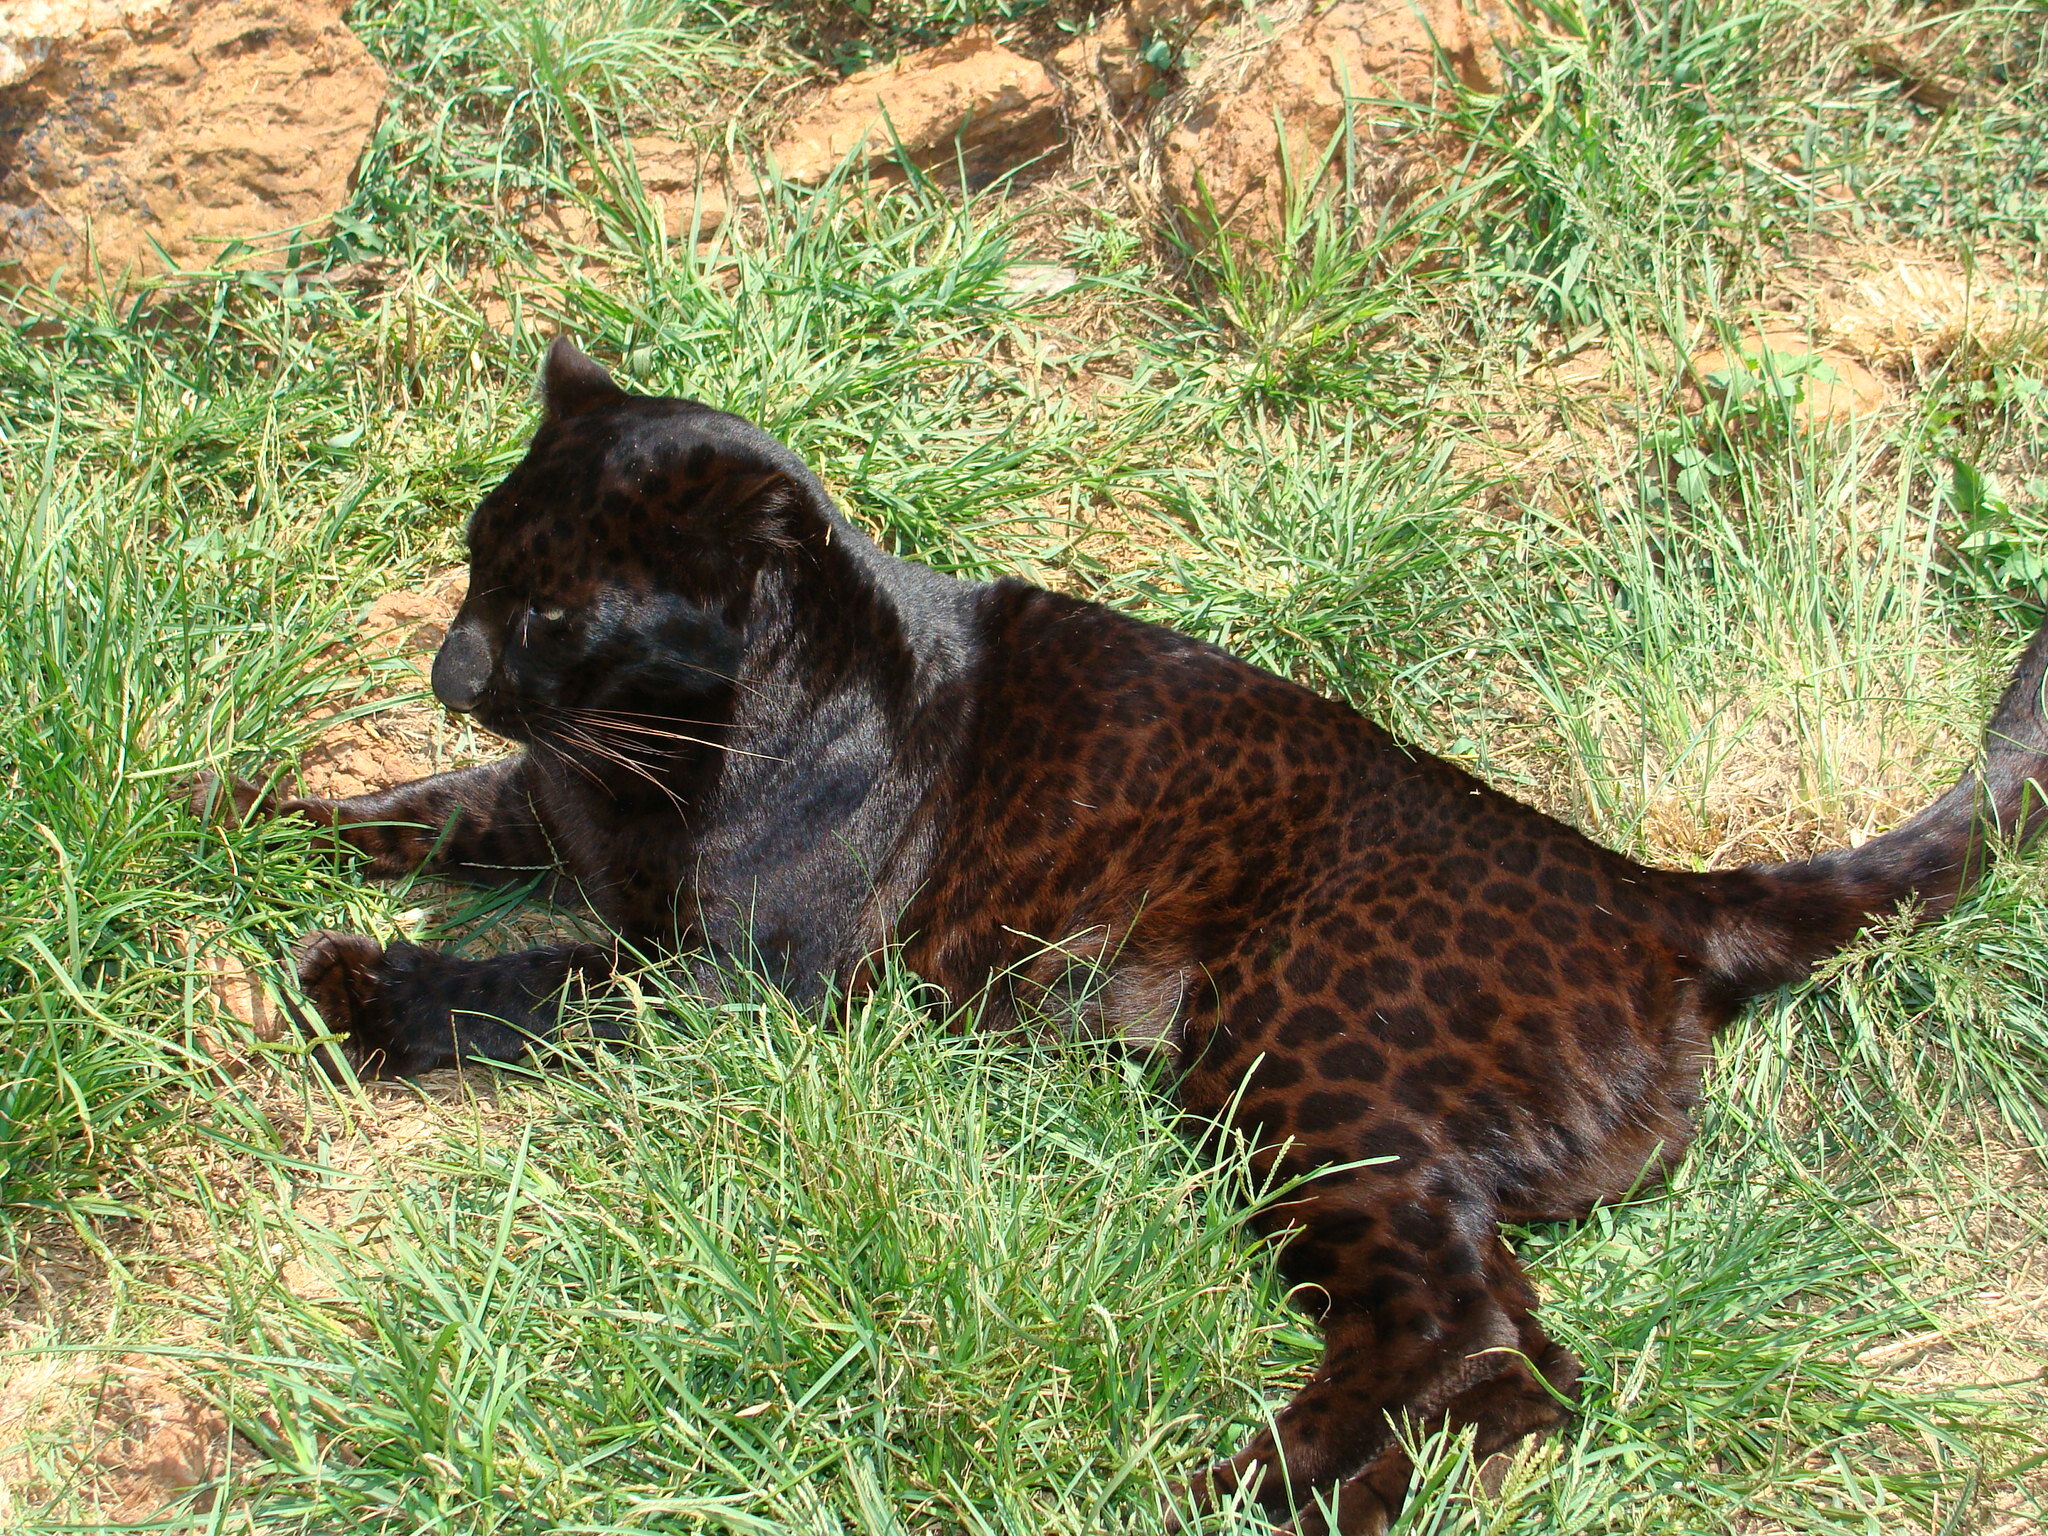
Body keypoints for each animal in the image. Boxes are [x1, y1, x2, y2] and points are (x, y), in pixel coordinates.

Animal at [193, 338, 2048, 1534]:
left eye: (556, 606)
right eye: (472, 560)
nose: (451, 663)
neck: (662, 741)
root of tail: (1661, 890)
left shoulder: (732, 985)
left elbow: (545, 986)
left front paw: (357, 986)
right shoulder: (553, 812)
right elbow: (422, 809)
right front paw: (220, 804)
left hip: (1305, 1065)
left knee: (1447, 1330)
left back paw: (1226, 1493)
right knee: (1523, 1365)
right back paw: (1337, 1501)